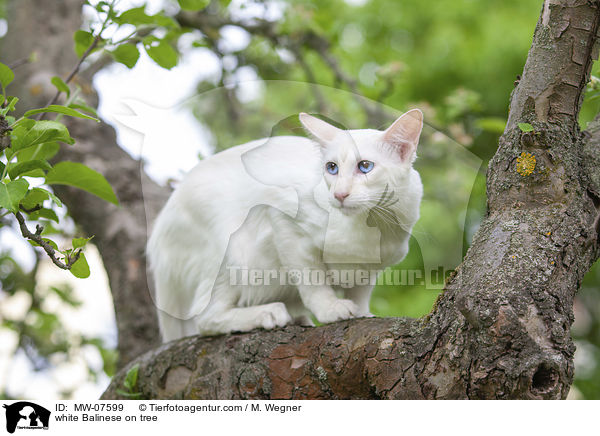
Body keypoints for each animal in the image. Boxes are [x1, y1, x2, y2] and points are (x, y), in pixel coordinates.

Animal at [148, 109, 424, 340]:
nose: (339, 194)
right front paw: (330, 309)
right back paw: (270, 314)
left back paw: (295, 317)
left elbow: (360, 292)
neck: (371, 225)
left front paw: (362, 313)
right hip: (235, 255)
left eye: (365, 167)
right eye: (331, 168)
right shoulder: (283, 223)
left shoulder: (371, 267)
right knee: (205, 319)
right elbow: (313, 282)